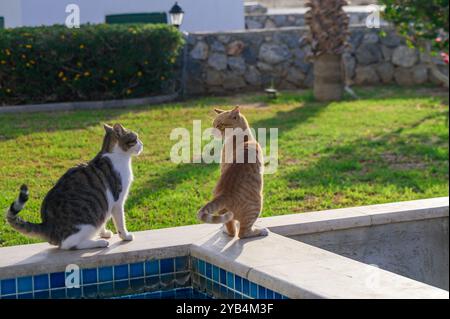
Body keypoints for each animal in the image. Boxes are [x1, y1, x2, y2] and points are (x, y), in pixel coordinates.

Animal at [5, 124, 142, 251]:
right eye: (135, 138)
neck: (115, 155)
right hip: (86, 224)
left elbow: (103, 221)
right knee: (69, 244)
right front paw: (125, 236)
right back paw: (99, 243)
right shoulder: (118, 201)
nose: (142, 144)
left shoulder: (105, 205)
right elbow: (120, 222)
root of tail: (47, 225)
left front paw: (104, 233)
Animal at [196, 107, 268, 240]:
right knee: (242, 233)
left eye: (219, 125)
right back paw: (261, 231)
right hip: (258, 203)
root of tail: (224, 194)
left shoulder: (223, 166)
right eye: (213, 124)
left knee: (231, 230)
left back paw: (225, 229)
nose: (212, 131)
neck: (244, 137)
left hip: (226, 212)